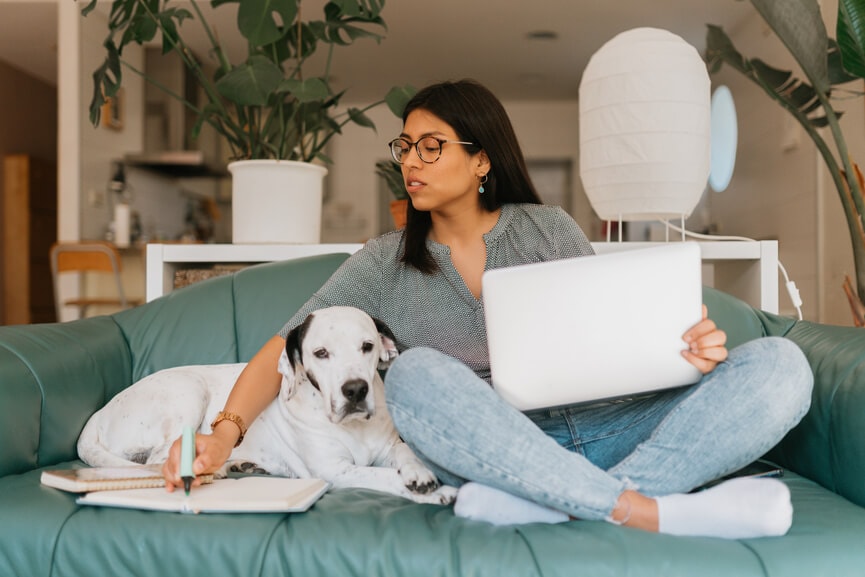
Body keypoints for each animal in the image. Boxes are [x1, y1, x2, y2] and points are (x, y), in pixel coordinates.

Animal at [77, 306, 456, 504]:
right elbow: (384, 476)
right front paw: (433, 492)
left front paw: (419, 473)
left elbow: (404, 455)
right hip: (188, 393)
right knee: (159, 460)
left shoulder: (389, 447)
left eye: (367, 346)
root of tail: (97, 416)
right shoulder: (337, 472)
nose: (355, 390)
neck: (354, 429)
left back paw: (238, 464)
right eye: (321, 353)